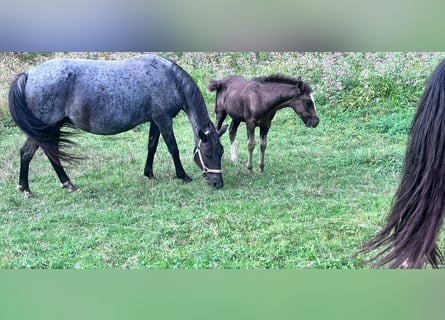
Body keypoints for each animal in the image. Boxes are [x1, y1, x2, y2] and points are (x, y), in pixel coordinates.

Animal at [8, 53, 227, 198]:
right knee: (39, 153)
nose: (217, 183)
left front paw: (149, 174)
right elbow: (173, 147)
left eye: (221, 152)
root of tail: (28, 75)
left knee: (30, 153)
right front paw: (183, 176)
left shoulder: (155, 121)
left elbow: (152, 146)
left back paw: (29, 187)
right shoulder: (163, 119)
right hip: (47, 127)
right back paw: (56, 185)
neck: (170, 79)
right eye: (207, 153)